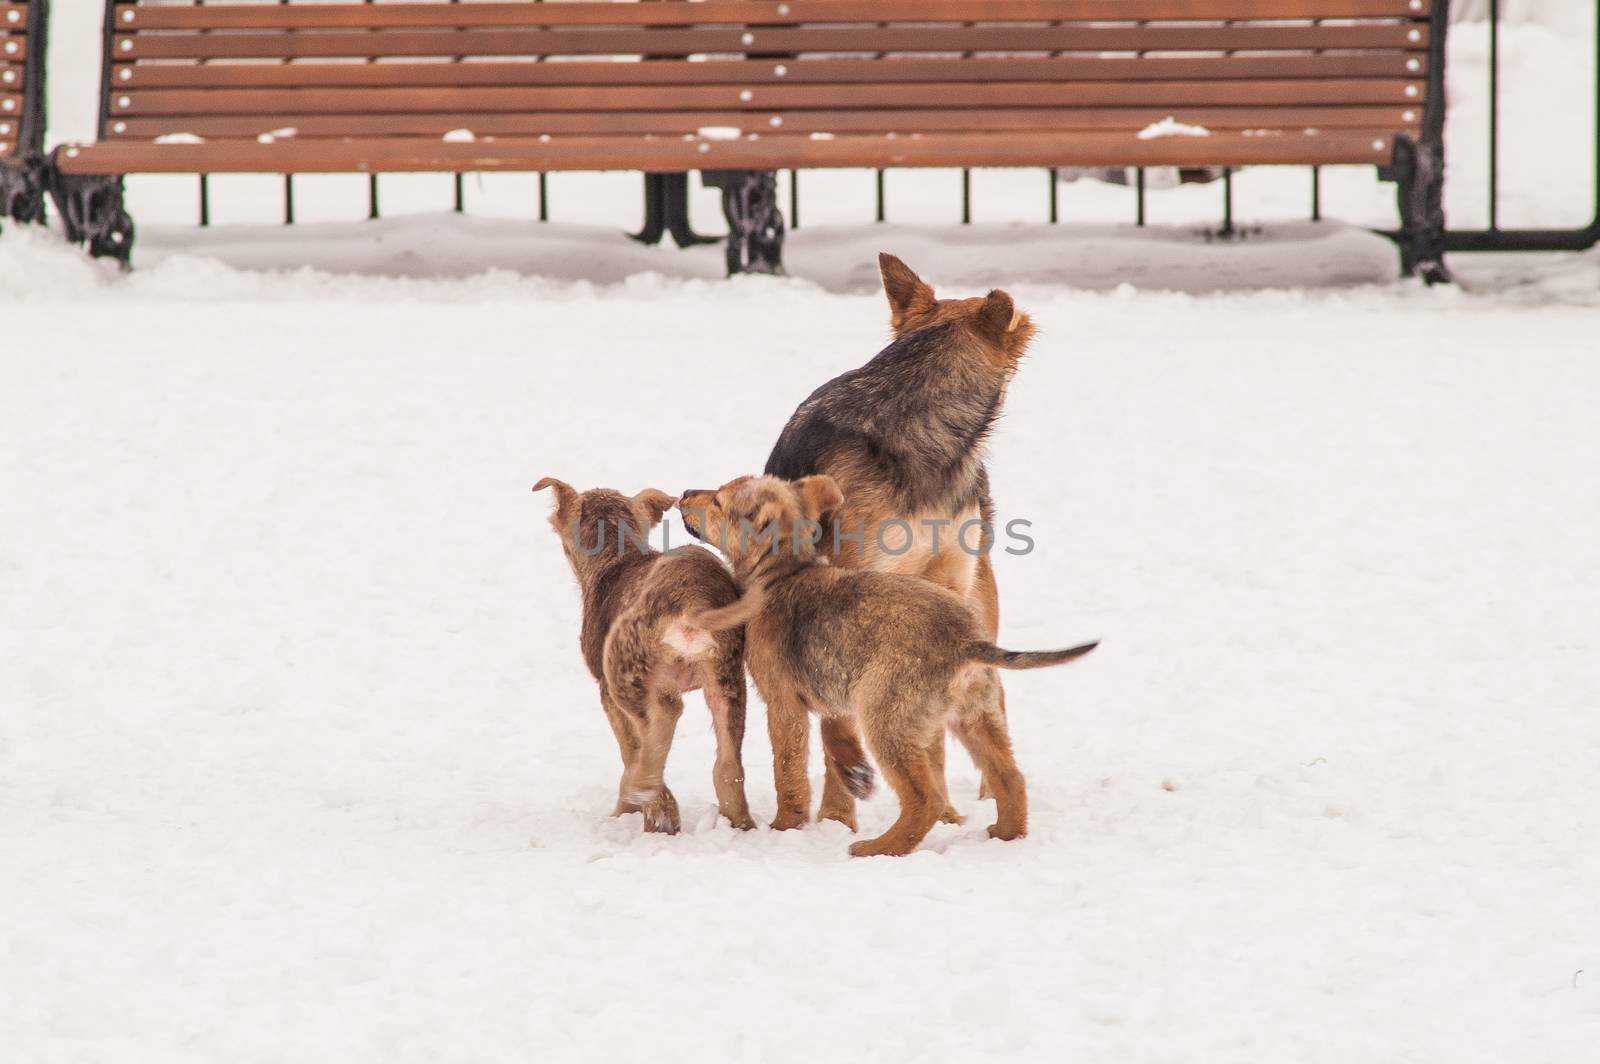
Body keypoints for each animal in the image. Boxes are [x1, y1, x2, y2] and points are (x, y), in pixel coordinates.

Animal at [537, 476, 755, 832]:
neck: (614, 552)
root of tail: (694, 603)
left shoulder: (605, 689)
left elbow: (629, 746)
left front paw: (629, 810)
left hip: (627, 666)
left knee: (664, 715)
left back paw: (648, 795)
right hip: (726, 676)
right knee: (728, 763)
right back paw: (739, 822)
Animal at [675, 473, 1100, 857]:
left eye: (719, 501)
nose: (684, 492)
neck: (783, 574)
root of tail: (966, 642)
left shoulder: (784, 705)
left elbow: (789, 772)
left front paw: (785, 828)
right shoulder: (833, 699)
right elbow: (833, 747)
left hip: (886, 719)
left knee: (927, 798)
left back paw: (878, 848)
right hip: (974, 716)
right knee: (1010, 778)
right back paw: (1005, 836)